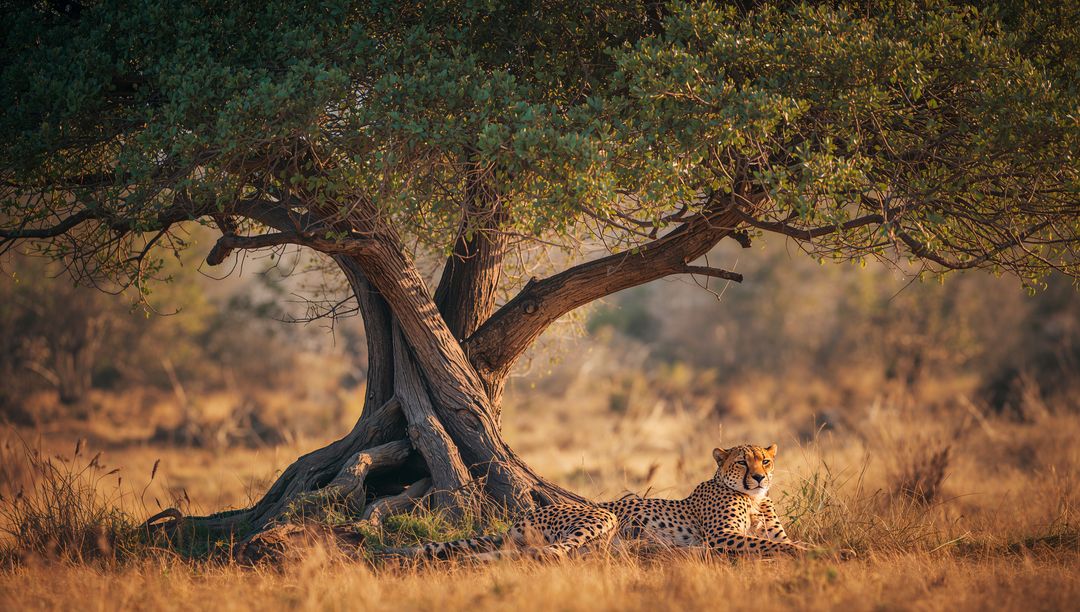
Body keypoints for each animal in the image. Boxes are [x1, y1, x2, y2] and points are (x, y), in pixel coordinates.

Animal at [386, 443, 802, 562]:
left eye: (765, 460)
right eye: (742, 462)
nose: (760, 477)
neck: (753, 499)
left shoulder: (763, 530)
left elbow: (781, 540)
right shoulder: (721, 535)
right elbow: (776, 544)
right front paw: (816, 552)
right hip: (601, 515)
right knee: (549, 553)